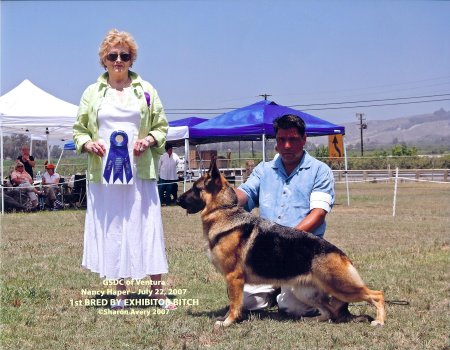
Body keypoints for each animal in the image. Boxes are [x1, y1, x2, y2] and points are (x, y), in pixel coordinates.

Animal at [178, 159, 384, 328]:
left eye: (196, 188)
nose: (177, 199)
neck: (224, 210)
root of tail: (341, 254)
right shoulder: (233, 281)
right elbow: (233, 303)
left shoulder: (234, 278)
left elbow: (234, 305)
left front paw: (228, 322)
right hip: (306, 292)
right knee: (329, 312)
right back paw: (310, 320)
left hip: (340, 286)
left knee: (377, 295)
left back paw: (379, 321)